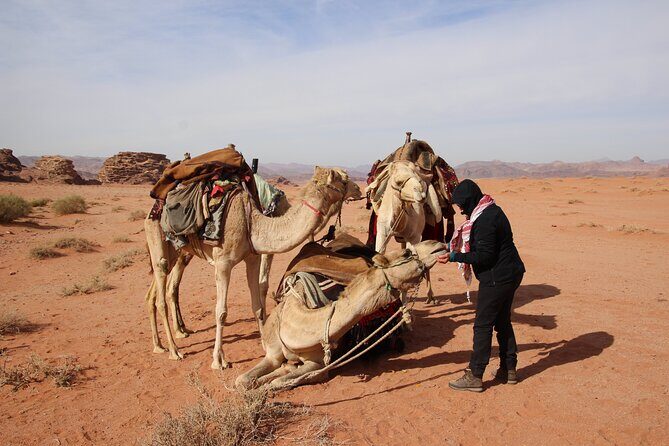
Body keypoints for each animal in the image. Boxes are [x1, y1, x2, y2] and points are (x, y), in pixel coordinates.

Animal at [145, 167, 351, 369]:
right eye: (344, 180)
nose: (357, 188)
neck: (251, 222)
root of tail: (152, 210)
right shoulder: (223, 263)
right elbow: (221, 312)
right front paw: (219, 360)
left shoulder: (253, 258)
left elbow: (257, 305)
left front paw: (265, 344)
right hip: (159, 240)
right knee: (161, 290)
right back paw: (174, 350)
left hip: (177, 250)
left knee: (157, 290)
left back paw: (161, 343)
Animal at [235, 239, 447, 391]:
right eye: (406, 252)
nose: (438, 244)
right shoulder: (272, 354)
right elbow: (242, 380)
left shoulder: (318, 365)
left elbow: (277, 382)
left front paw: (279, 374)